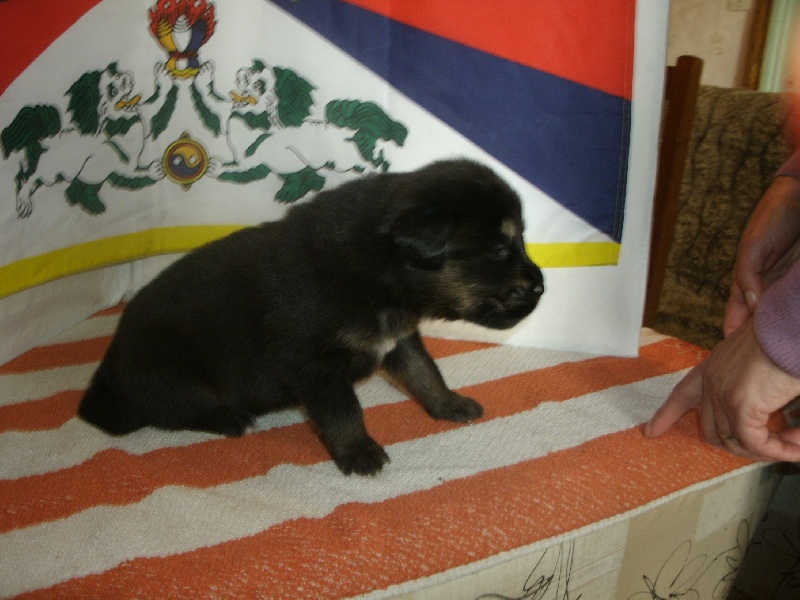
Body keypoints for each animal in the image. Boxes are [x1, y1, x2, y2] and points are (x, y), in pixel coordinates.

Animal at [79, 159, 545, 475]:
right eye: (498, 250)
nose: (541, 287)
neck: (378, 274)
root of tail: (108, 368)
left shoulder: (399, 338)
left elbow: (425, 373)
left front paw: (450, 404)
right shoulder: (311, 363)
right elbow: (344, 410)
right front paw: (359, 452)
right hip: (173, 372)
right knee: (172, 410)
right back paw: (229, 418)